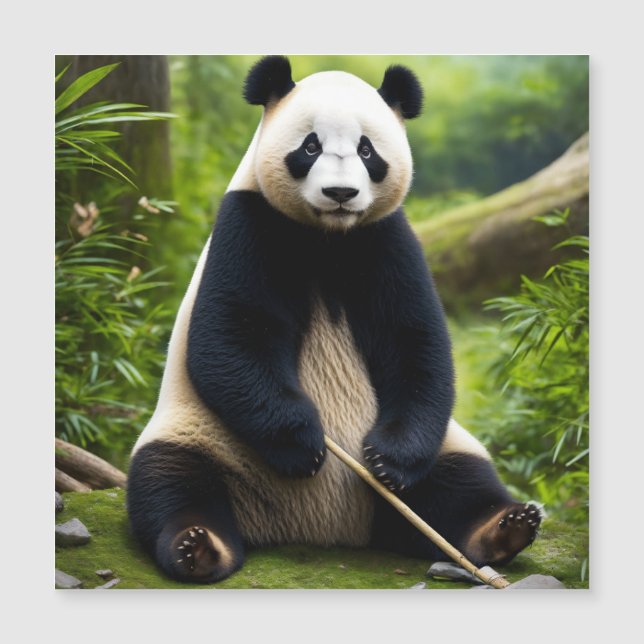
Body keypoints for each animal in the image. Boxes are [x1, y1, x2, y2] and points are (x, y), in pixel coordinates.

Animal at [127, 56, 542, 584]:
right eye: (310, 146)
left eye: (367, 149)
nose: (340, 192)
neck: (329, 237)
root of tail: (322, 528)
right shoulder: (249, 222)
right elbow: (231, 335)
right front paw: (305, 443)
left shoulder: (387, 238)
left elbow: (417, 344)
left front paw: (387, 461)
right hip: (200, 434)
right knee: (169, 482)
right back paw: (198, 546)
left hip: (447, 446)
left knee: (459, 485)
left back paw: (506, 527)